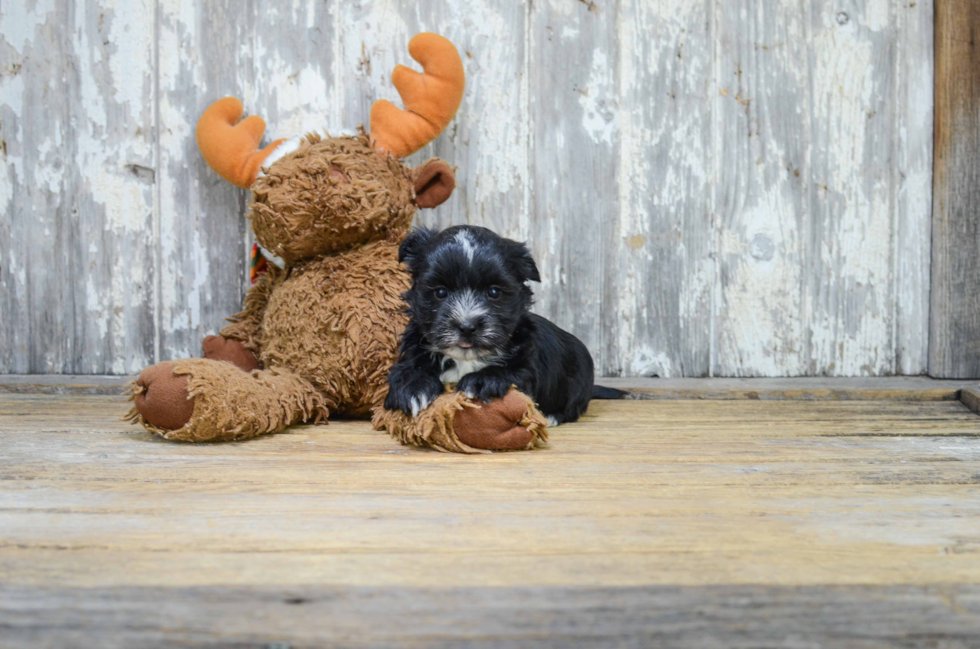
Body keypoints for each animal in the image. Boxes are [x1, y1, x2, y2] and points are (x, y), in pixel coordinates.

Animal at [380, 224, 620, 426]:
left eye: (494, 292)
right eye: (440, 292)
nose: (467, 326)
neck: (465, 360)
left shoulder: (526, 367)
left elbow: (510, 371)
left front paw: (480, 381)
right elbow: (405, 370)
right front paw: (413, 389)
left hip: (580, 379)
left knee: (573, 407)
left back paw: (552, 416)